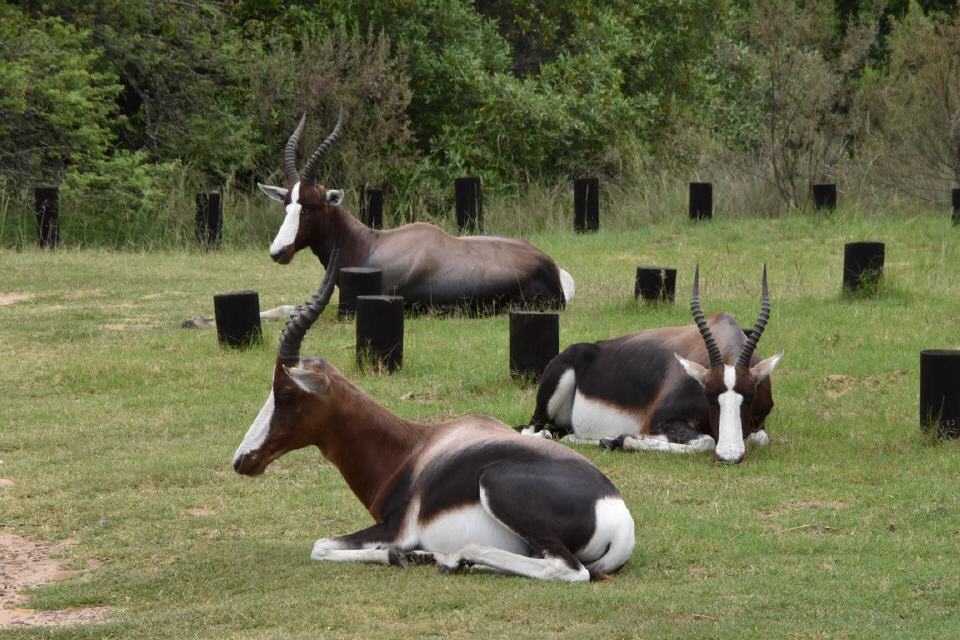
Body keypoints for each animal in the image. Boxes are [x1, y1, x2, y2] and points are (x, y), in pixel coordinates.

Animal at [231, 249, 636, 580]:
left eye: (285, 392)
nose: (241, 460)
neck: (412, 452)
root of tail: (618, 519)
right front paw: (414, 557)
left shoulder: (396, 529)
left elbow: (321, 545)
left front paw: (399, 557)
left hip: (498, 489)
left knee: (568, 569)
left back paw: (454, 558)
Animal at [520, 266, 784, 464]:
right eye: (709, 395)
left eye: (749, 396)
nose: (730, 455)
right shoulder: (658, 421)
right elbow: (705, 441)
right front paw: (624, 440)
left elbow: (758, 439)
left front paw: (616, 439)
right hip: (546, 407)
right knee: (531, 431)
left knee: (565, 435)